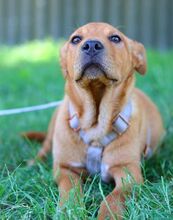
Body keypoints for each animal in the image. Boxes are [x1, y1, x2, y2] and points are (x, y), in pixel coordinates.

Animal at [25, 22, 164, 218]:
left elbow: (114, 198)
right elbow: (70, 190)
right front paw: (69, 211)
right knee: (43, 148)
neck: (95, 126)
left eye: (115, 38)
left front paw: (108, 215)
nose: (91, 45)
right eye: (76, 39)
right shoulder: (65, 169)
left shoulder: (129, 172)